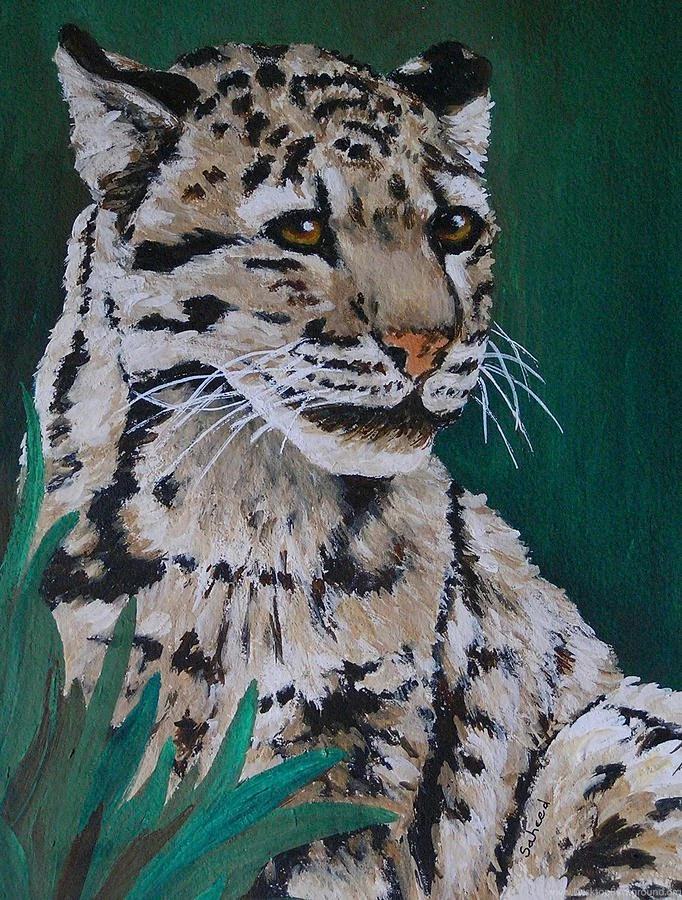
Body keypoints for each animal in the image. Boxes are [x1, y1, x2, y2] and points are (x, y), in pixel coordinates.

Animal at [29, 24, 681, 898]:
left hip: (615, 738)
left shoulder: (362, 756)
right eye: (302, 230)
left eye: (455, 228)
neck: (251, 521)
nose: (428, 343)